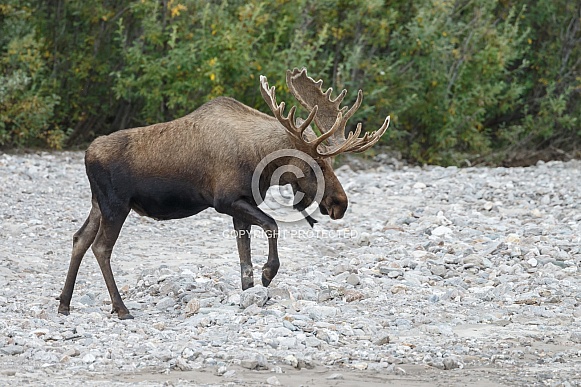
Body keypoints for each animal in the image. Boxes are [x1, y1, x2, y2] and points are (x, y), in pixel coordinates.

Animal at [57, 68, 390, 320]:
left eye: (331, 162)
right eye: (316, 164)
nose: (340, 203)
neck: (261, 160)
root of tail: (87, 154)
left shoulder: (240, 206)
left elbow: (245, 259)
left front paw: (250, 293)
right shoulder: (225, 201)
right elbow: (272, 227)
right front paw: (268, 274)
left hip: (97, 203)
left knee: (79, 238)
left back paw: (64, 303)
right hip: (116, 205)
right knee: (101, 247)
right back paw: (121, 308)